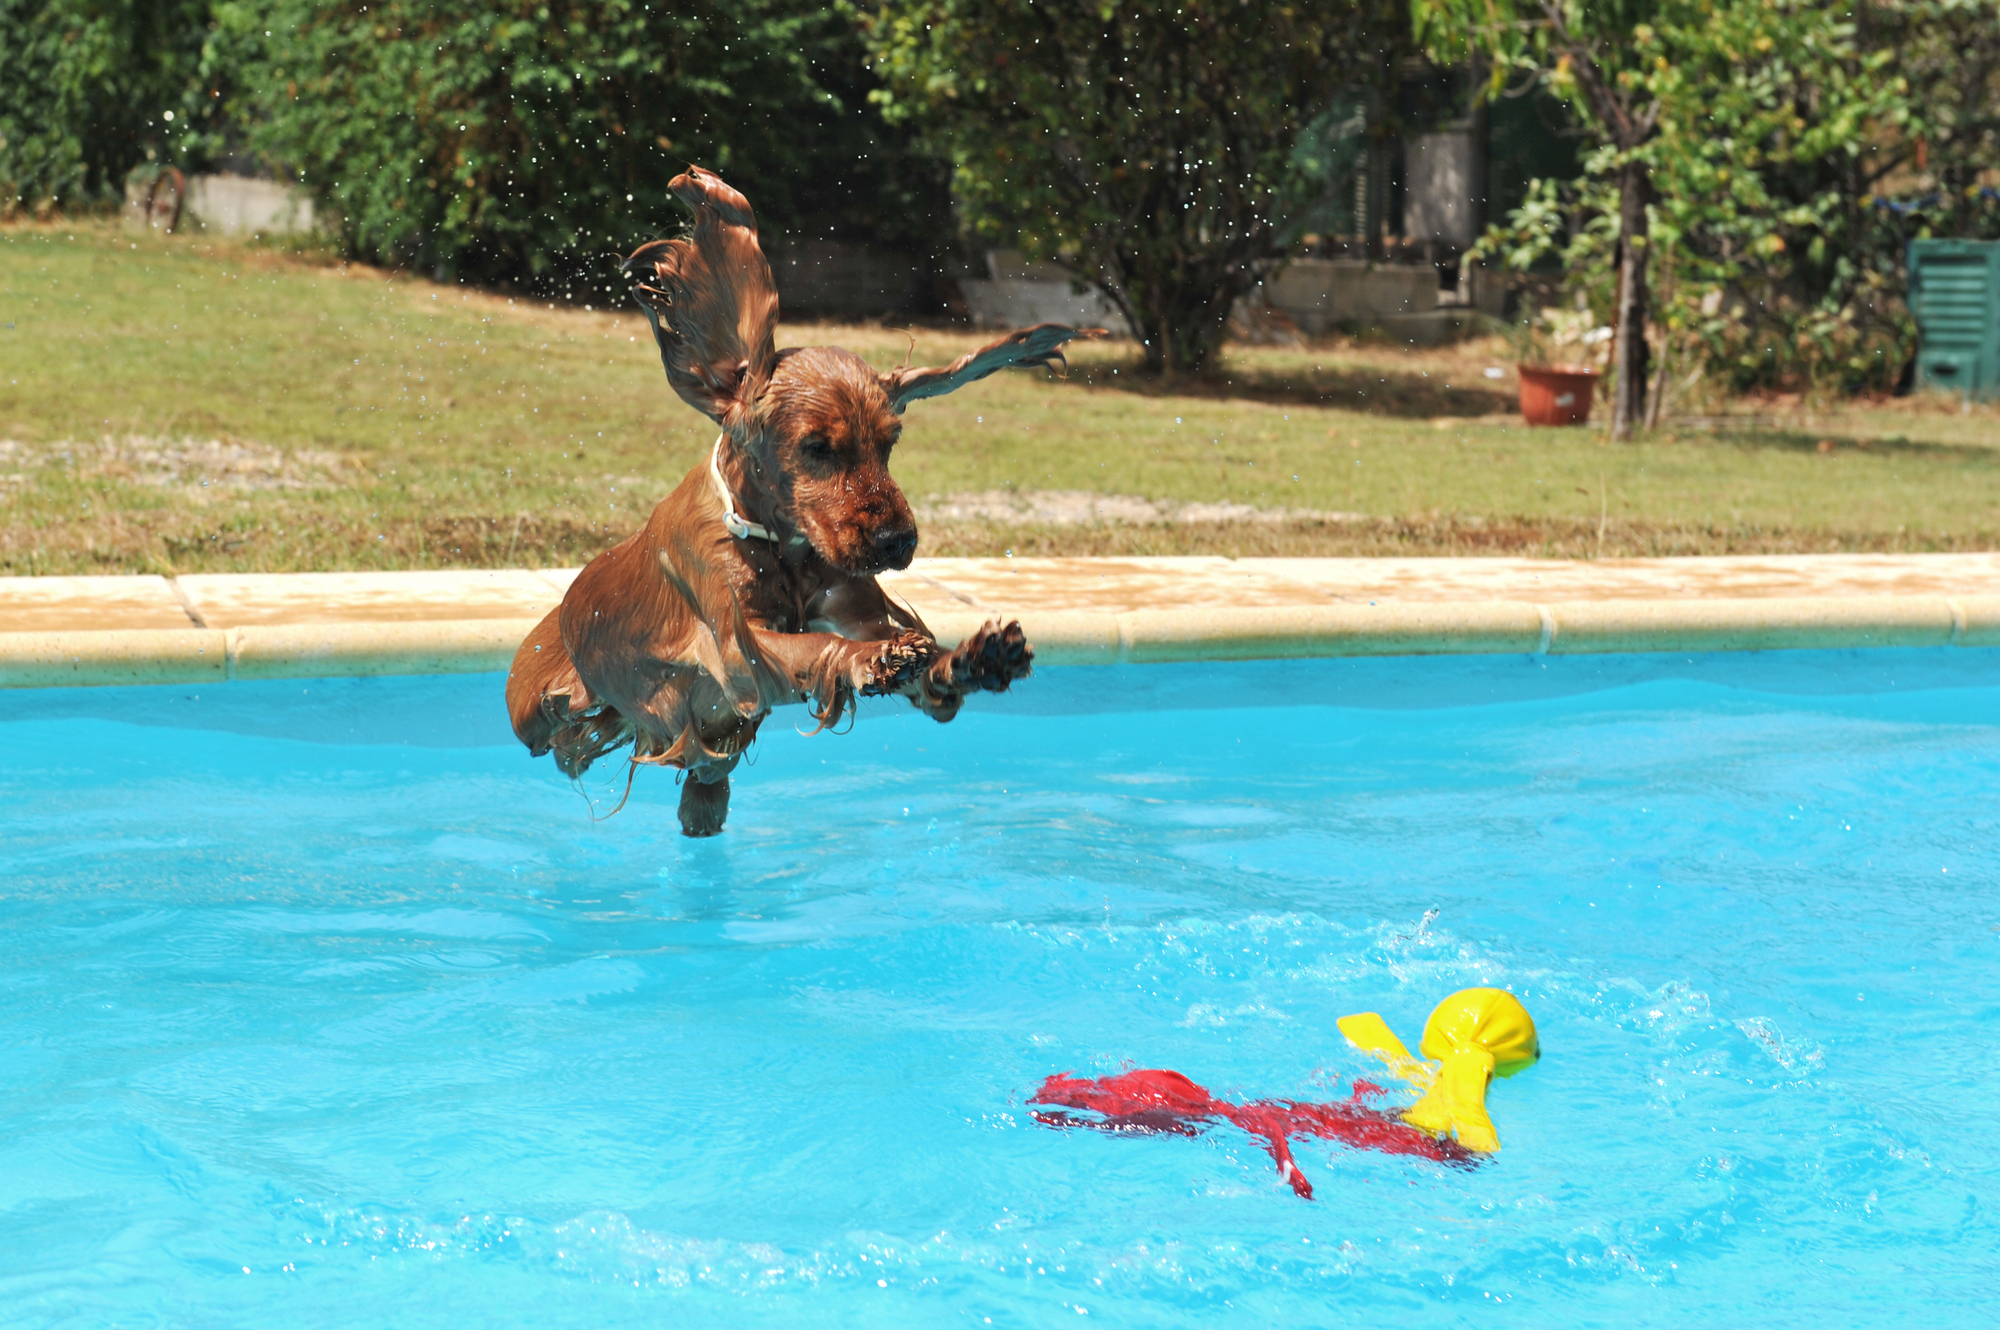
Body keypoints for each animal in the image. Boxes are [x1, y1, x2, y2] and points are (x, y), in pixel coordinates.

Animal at [500, 163, 1096, 832]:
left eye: (889, 443)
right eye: (817, 447)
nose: (899, 542)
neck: (780, 547)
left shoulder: (852, 604)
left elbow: (920, 668)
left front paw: (975, 656)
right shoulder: (737, 649)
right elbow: (814, 647)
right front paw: (874, 659)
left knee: (702, 779)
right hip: (537, 705)